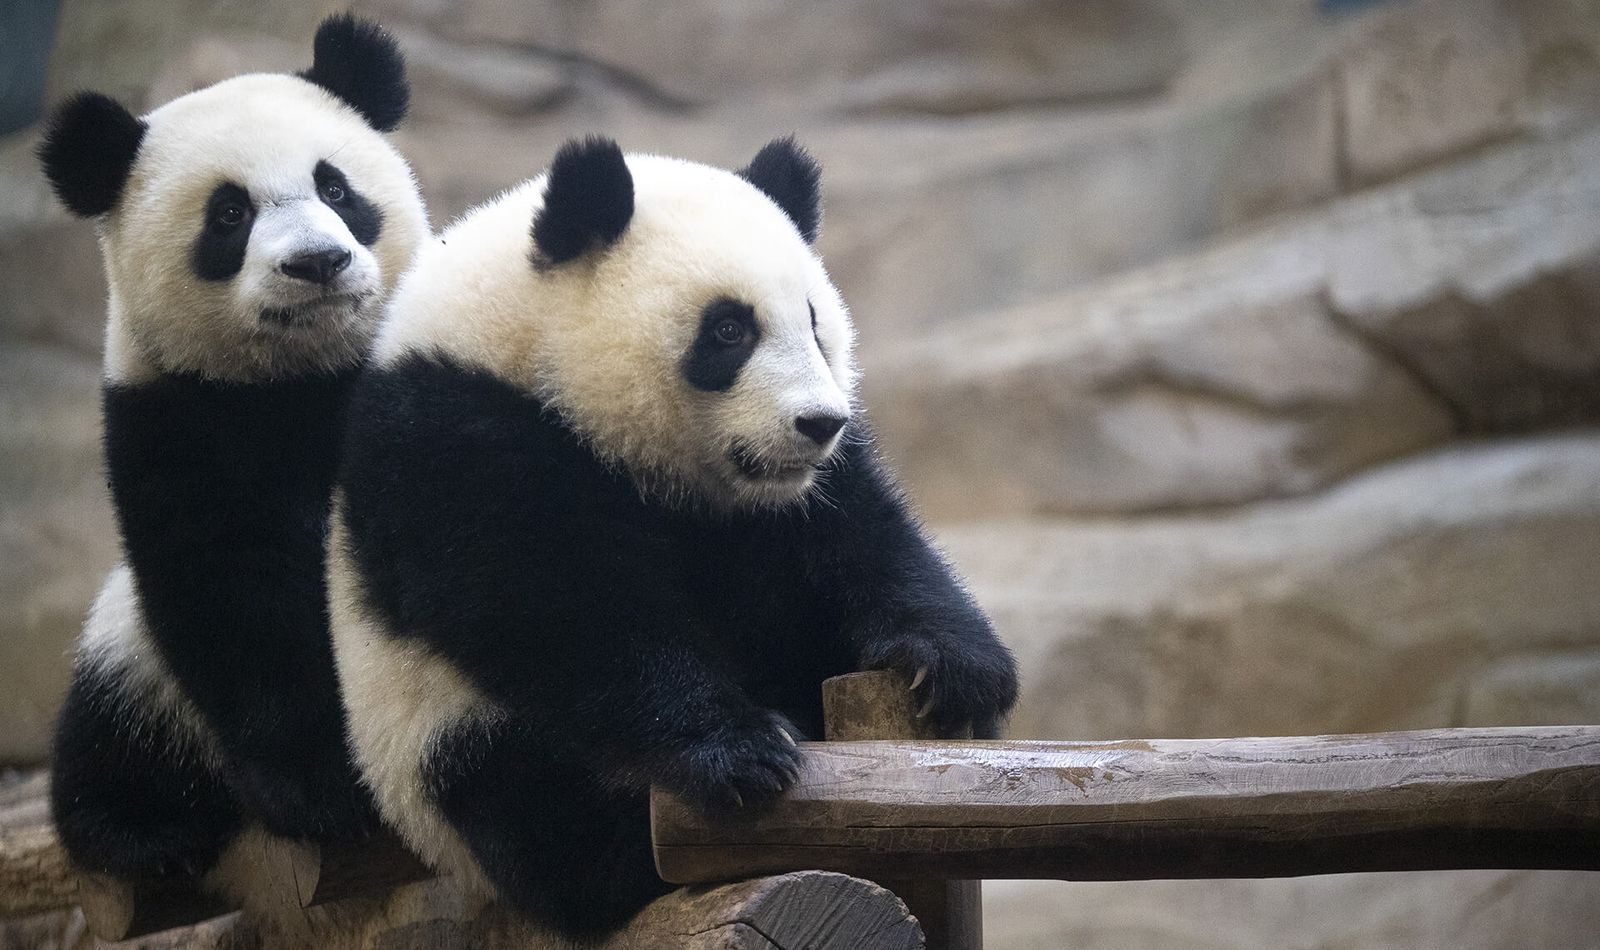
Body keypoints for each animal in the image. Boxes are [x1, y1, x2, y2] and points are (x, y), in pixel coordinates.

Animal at [39, 15, 428, 895]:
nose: (317, 263)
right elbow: (234, 597)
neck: (303, 377)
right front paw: (324, 791)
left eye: (336, 189)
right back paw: (141, 830)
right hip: (136, 664)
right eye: (228, 214)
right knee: (112, 730)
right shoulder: (175, 421)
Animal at [328, 135, 1019, 935]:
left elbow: (862, 536)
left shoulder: (791, 497)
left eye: (815, 323)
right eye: (729, 330)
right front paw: (740, 752)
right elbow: (560, 604)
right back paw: (629, 856)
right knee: (534, 808)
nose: (818, 423)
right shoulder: (452, 438)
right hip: (436, 739)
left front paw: (952, 668)